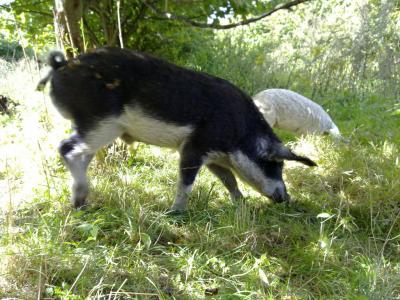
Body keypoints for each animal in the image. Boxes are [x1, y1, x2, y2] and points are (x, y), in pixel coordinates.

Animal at [39, 47, 316, 211]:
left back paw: (82, 204)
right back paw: (79, 200)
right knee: (66, 148)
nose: (287, 198)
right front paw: (175, 213)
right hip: (102, 122)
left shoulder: (214, 157)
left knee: (80, 155)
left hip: (93, 127)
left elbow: (229, 179)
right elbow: (186, 181)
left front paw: (241, 205)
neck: (239, 136)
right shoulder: (195, 146)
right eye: (276, 165)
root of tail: (61, 66)